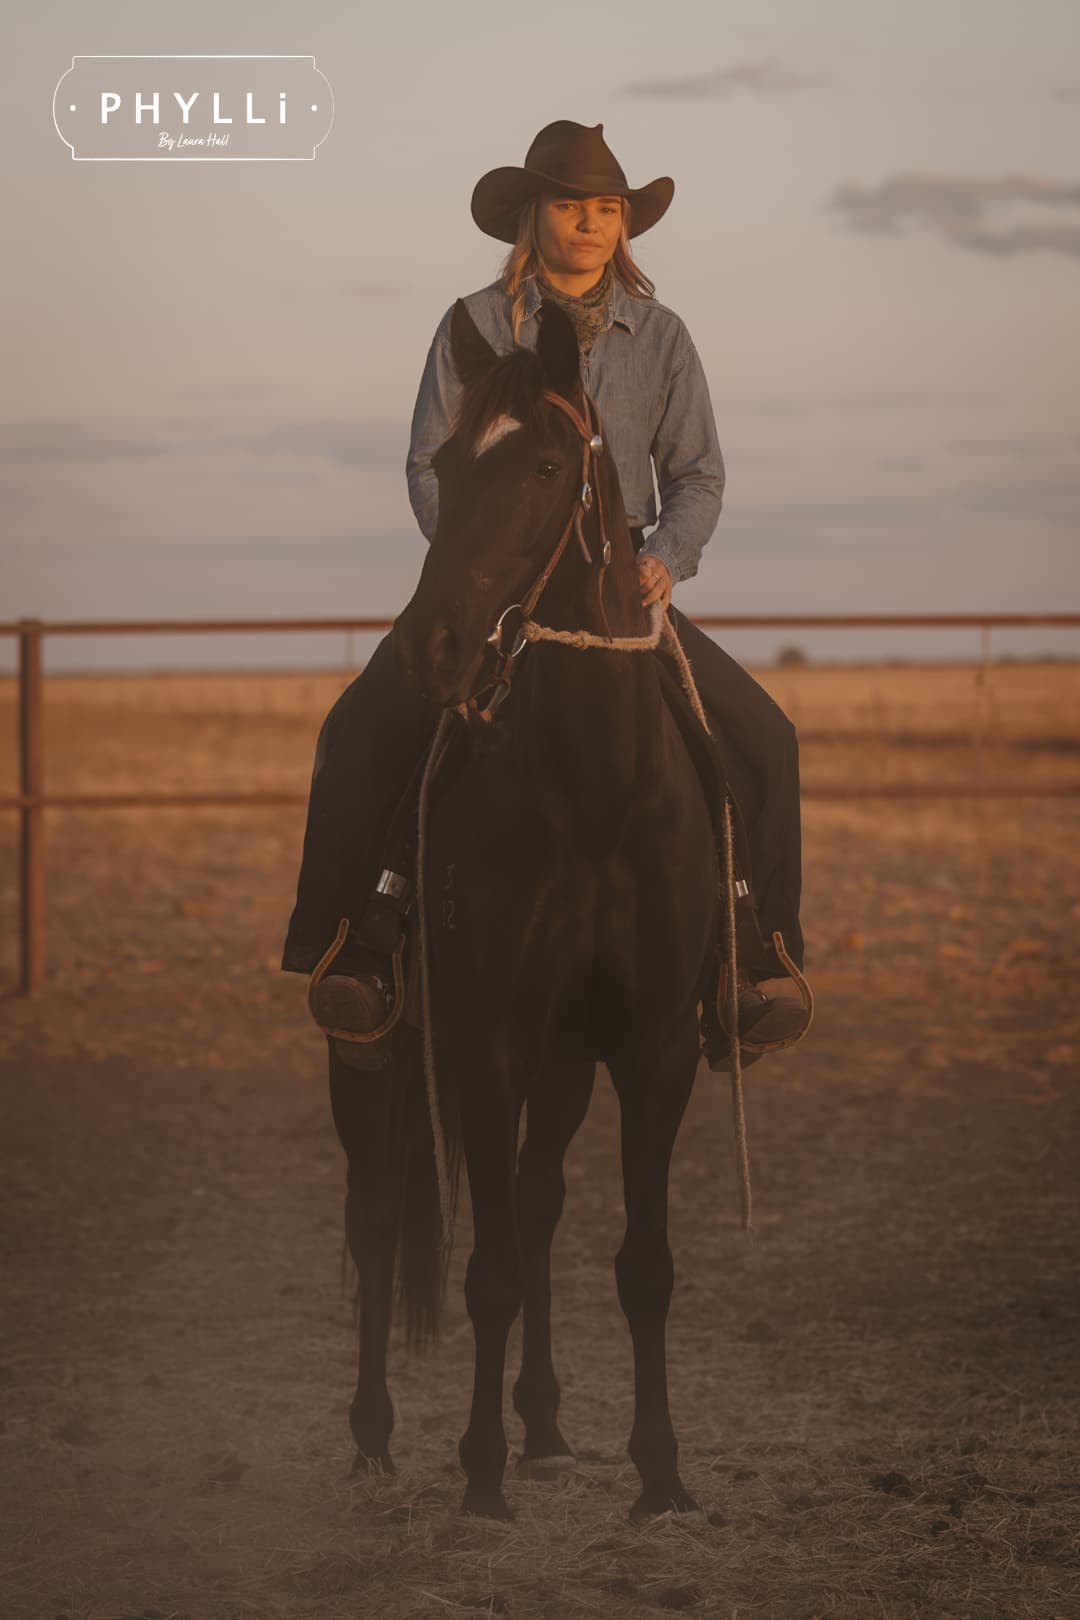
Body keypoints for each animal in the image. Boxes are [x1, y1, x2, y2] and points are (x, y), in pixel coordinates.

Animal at [328, 295, 722, 1521]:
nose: (433, 648)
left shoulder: (651, 1045)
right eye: (450, 465)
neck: (593, 794)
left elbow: (642, 1266)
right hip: (369, 1051)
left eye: (548, 465)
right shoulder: (484, 1041)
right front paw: (479, 1478)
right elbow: (487, 1268)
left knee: (540, 1200)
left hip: (563, 1063)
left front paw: (661, 1475)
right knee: (376, 1218)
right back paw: (374, 1435)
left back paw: (544, 1427)